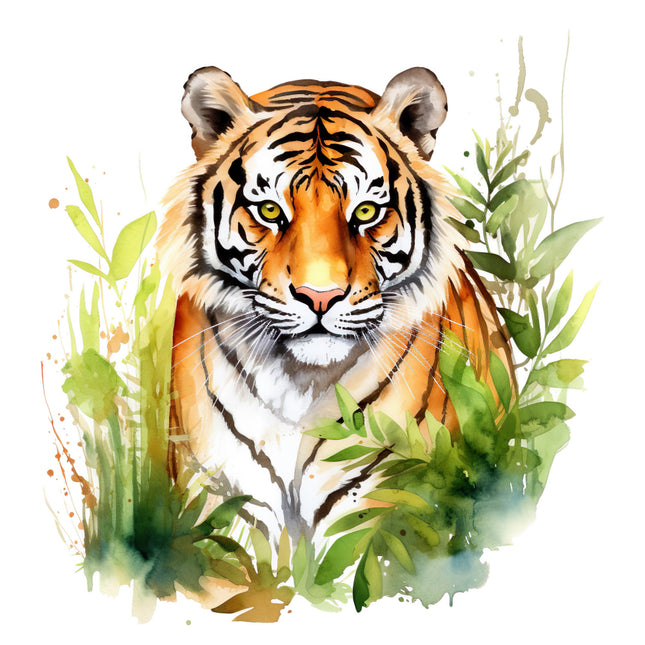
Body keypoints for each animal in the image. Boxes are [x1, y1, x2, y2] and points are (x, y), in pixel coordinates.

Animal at [157, 66, 514, 545]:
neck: (297, 385)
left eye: (364, 212)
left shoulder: (384, 506)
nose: (320, 296)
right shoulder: (223, 496)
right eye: (270, 210)